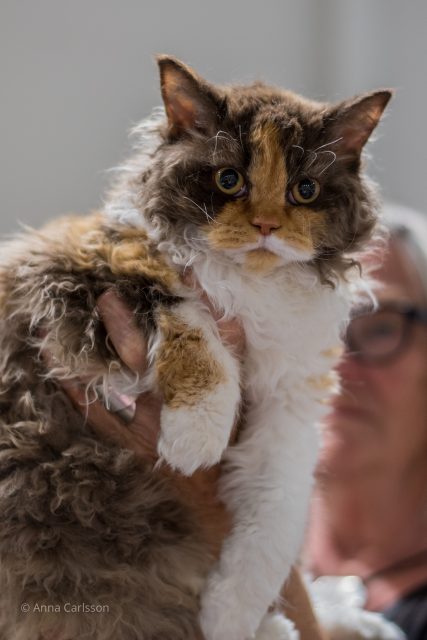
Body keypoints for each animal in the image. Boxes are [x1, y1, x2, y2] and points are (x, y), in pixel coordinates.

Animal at [0, 56, 396, 640]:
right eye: (229, 180)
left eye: (304, 190)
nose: (265, 225)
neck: (254, 288)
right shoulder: (88, 265)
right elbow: (192, 318)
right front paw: (195, 439)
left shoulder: (291, 413)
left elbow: (273, 528)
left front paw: (229, 618)